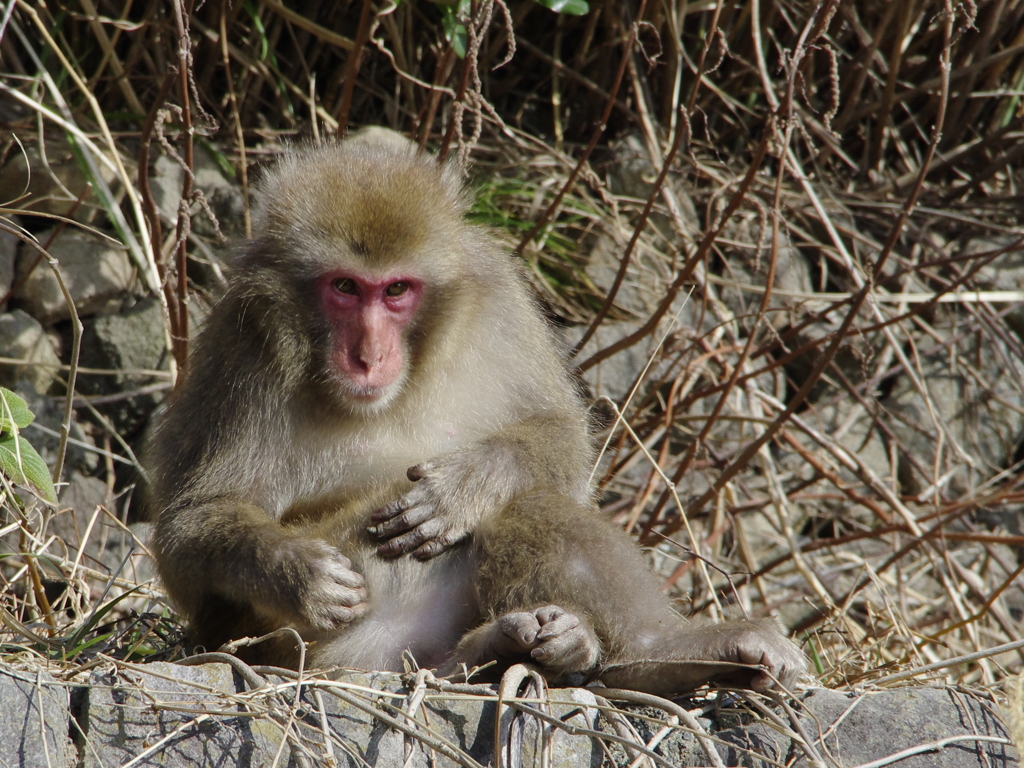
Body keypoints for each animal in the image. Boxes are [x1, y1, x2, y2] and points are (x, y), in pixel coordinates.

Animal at [146, 128, 806, 696]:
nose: (368, 356)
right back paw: (507, 651)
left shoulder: (498, 299)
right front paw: (297, 570)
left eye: (396, 290)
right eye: (345, 288)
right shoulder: (245, 343)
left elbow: (561, 436)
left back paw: (641, 652)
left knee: (533, 505)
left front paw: (468, 482)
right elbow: (188, 531)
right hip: (323, 644)